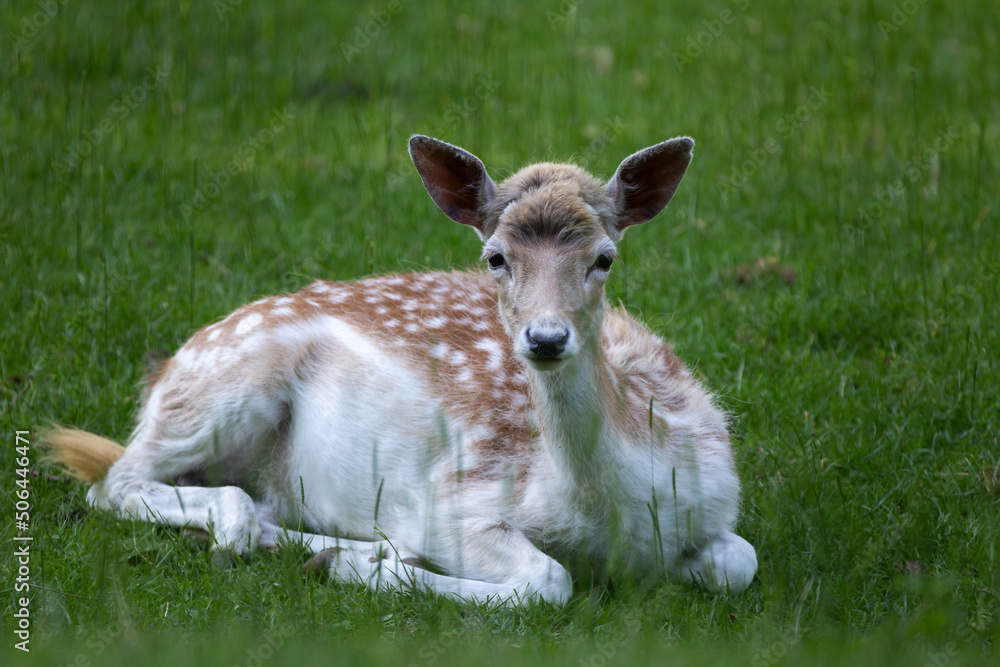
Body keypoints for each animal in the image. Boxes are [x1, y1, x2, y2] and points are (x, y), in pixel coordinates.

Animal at [45, 134, 757, 605]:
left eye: (604, 257)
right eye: (495, 256)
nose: (546, 337)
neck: (612, 510)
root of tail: (164, 372)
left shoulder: (718, 498)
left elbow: (740, 561)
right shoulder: (456, 497)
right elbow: (548, 582)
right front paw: (357, 567)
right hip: (222, 385)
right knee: (117, 482)